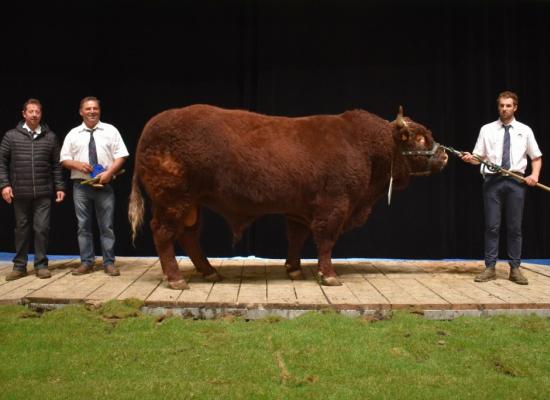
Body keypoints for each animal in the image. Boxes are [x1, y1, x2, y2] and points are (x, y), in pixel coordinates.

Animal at [129, 104, 448, 290]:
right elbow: (325, 242)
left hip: (191, 205)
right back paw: (176, 279)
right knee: (163, 234)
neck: (366, 146)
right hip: (173, 201)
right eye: (421, 137)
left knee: (189, 236)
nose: (445, 155)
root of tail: (152, 125)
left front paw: (293, 270)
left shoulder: (299, 211)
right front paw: (328, 275)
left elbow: (297, 238)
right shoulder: (334, 207)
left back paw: (209, 272)